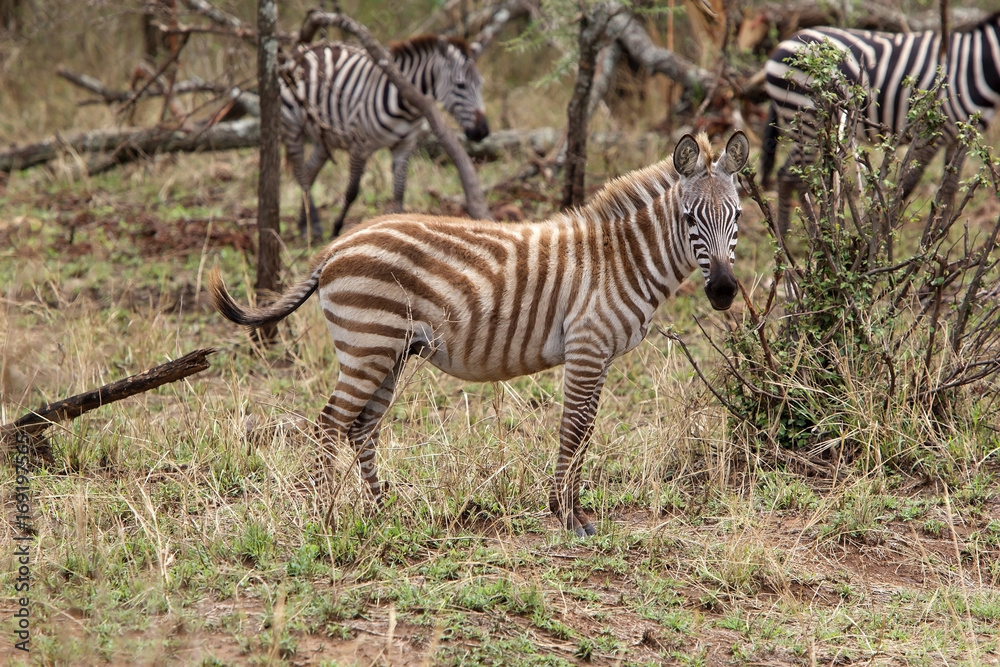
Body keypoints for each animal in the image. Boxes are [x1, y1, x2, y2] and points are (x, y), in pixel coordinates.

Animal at [210, 131, 750, 536]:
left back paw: (383, 513)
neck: (621, 258)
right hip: (368, 346)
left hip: (389, 351)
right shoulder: (587, 346)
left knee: (361, 428)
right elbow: (574, 429)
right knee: (328, 426)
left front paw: (573, 510)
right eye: (689, 218)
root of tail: (337, 246)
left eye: (738, 217)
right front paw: (566, 515)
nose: (724, 291)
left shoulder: (598, 356)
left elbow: (585, 431)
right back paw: (328, 518)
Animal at [279, 35, 490, 240]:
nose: (483, 131)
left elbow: (399, 191)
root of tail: (303, 48)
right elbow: (352, 191)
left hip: (323, 138)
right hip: (292, 126)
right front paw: (336, 228)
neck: (407, 108)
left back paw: (307, 224)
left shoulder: (405, 145)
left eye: (481, 85)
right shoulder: (360, 145)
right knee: (301, 173)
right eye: (461, 85)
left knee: (310, 171)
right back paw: (310, 226)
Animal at [762, 12, 1000, 233]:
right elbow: (907, 186)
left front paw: (939, 235)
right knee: (795, 175)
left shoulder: (961, 136)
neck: (976, 65)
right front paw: (887, 234)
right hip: (807, 117)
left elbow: (949, 187)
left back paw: (794, 235)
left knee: (790, 174)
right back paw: (810, 235)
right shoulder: (934, 133)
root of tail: (784, 42)